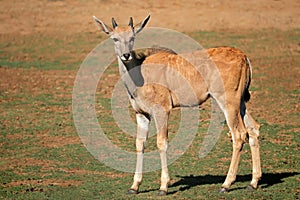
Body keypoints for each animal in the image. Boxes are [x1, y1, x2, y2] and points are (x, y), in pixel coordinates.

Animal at [92, 14, 262, 195]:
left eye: (132, 38)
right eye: (114, 38)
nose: (125, 55)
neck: (139, 71)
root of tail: (244, 57)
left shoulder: (161, 110)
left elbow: (161, 143)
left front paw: (163, 186)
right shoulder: (142, 114)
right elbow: (140, 144)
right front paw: (134, 186)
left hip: (228, 102)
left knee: (239, 135)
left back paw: (226, 184)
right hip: (240, 103)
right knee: (253, 129)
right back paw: (253, 182)